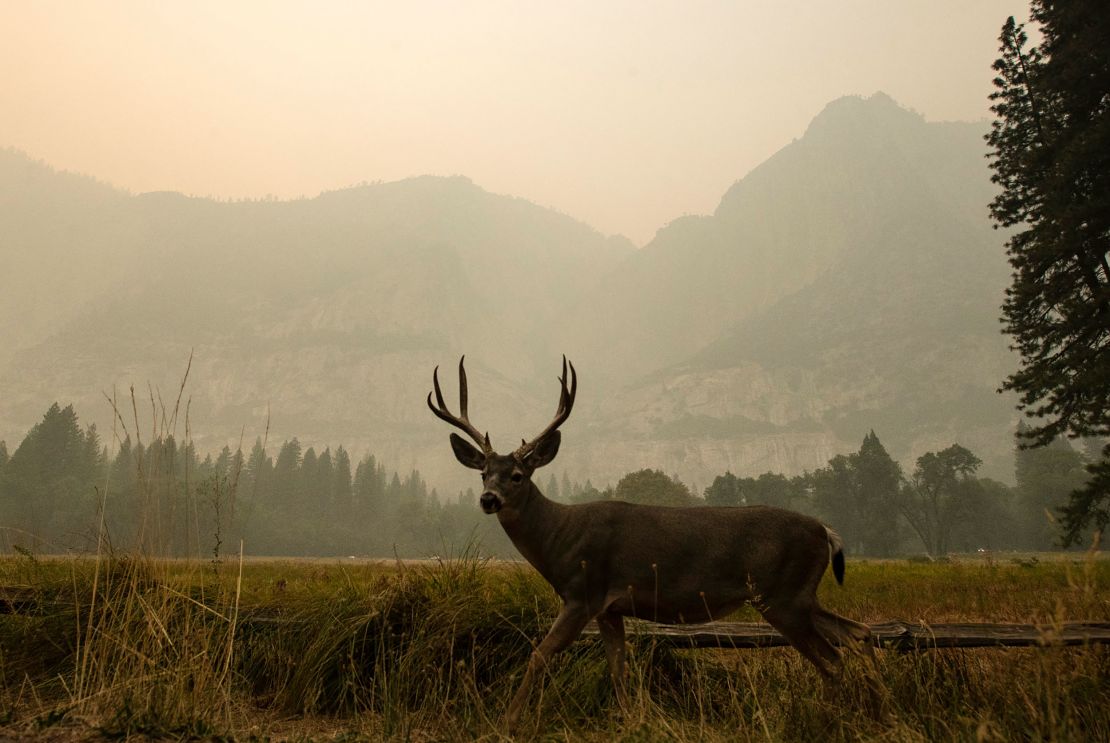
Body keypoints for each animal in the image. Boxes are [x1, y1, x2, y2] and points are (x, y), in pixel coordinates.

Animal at [428, 357, 870, 728]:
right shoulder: (610, 608)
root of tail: (826, 531)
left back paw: (827, 721)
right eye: (483, 473)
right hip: (799, 596)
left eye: (517, 475)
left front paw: (505, 722)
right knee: (858, 635)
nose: (489, 499)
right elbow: (618, 668)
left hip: (781, 595)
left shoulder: (582, 592)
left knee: (833, 658)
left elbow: (539, 655)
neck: (560, 537)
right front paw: (629, 721)